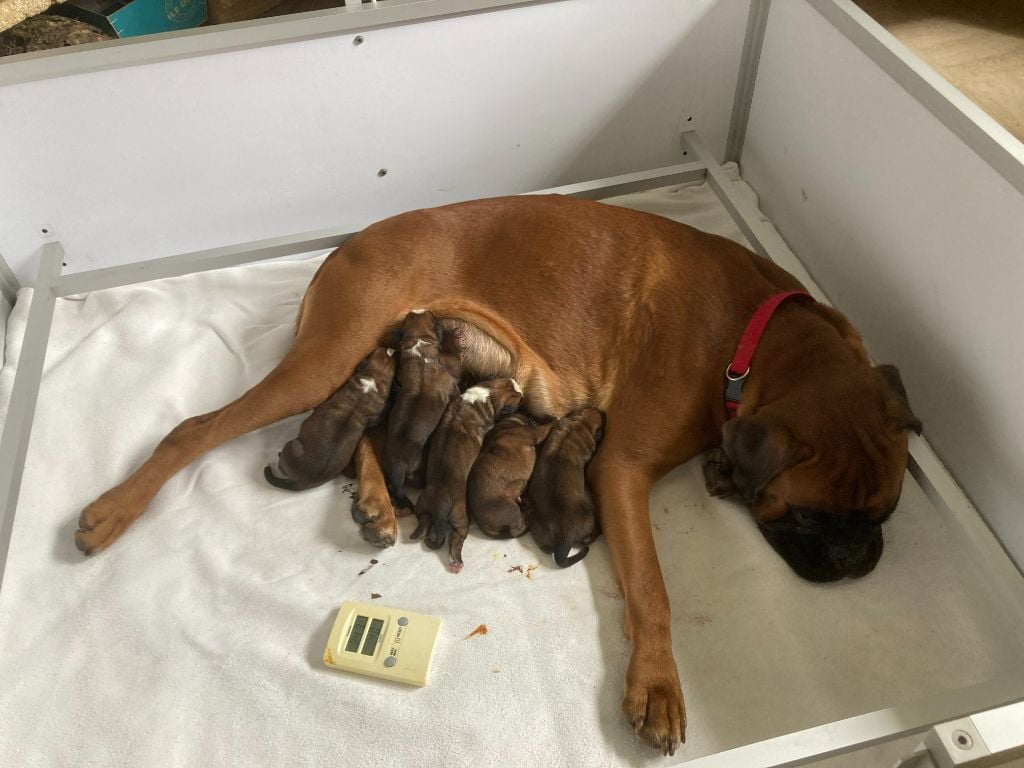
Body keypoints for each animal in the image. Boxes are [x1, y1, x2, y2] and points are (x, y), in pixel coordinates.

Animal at [409, 378, 524, 573]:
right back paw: (456, 561)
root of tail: (440, 508)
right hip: (461, 518)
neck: (486, 395)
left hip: (422, 506)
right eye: (517, 402)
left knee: (423, 521)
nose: (523, 395)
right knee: (455, 541)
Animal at [528, 409, 606, 565]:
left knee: (546, 549)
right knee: (586, 540)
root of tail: (565, 534)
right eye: (602, 418)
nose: (602, 411)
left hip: (536, 528)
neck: (581, 423)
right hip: (589, 515)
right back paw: (599, 529)